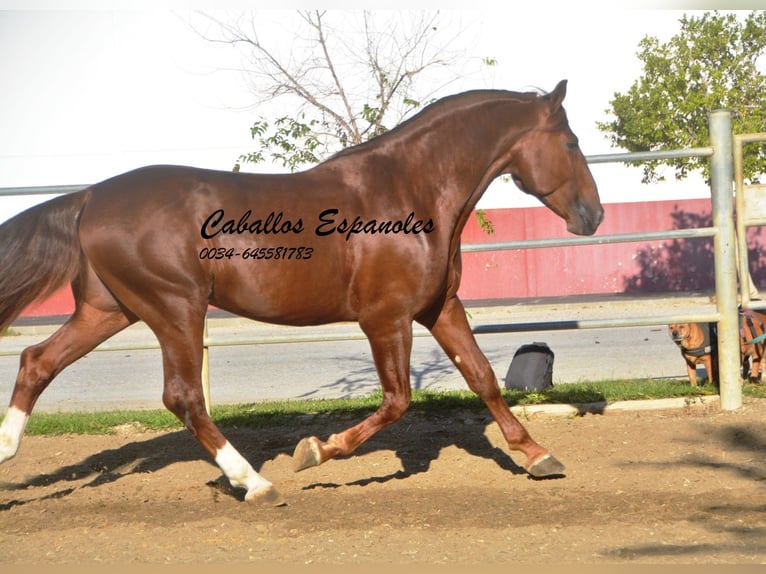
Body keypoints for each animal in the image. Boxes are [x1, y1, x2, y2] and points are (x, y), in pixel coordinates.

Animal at [0, 80, 604, 504]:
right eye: (571, 141)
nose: (593, 216)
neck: (409, 190)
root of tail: (90, 197)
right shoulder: (385, 317)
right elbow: (397, 400)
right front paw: (313, 452)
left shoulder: (439, 307)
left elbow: (482, 378)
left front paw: (538, 455)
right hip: (174, 308)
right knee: (183, 397)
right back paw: (256, 484)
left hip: (110, 310)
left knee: (37, 361)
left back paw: (6, 455)